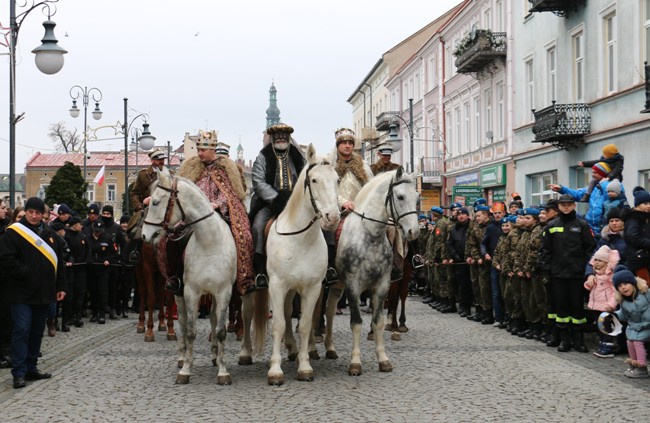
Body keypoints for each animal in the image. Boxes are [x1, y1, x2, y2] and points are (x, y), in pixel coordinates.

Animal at [140, 167, 237, 386]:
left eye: (156, 202)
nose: (144, 235)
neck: (209, 243)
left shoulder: (223, 293)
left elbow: (220, 330)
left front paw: (223, 371)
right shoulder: (191, 292)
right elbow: (191, 331)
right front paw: (185, 370)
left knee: (213, 320)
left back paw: (214, 356)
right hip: (178, 294)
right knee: (183, 324)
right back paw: (182, 356)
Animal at [322, 167, 416, 376]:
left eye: (417, 197)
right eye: (400, 196)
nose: (414, 231)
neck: (369, 235)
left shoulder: (382, 286)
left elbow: (378, 321)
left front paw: (383, 359)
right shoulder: (353, 286)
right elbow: (356, 322)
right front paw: (355, 362)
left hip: (337, 286)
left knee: (330, 311)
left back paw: (330, 348)